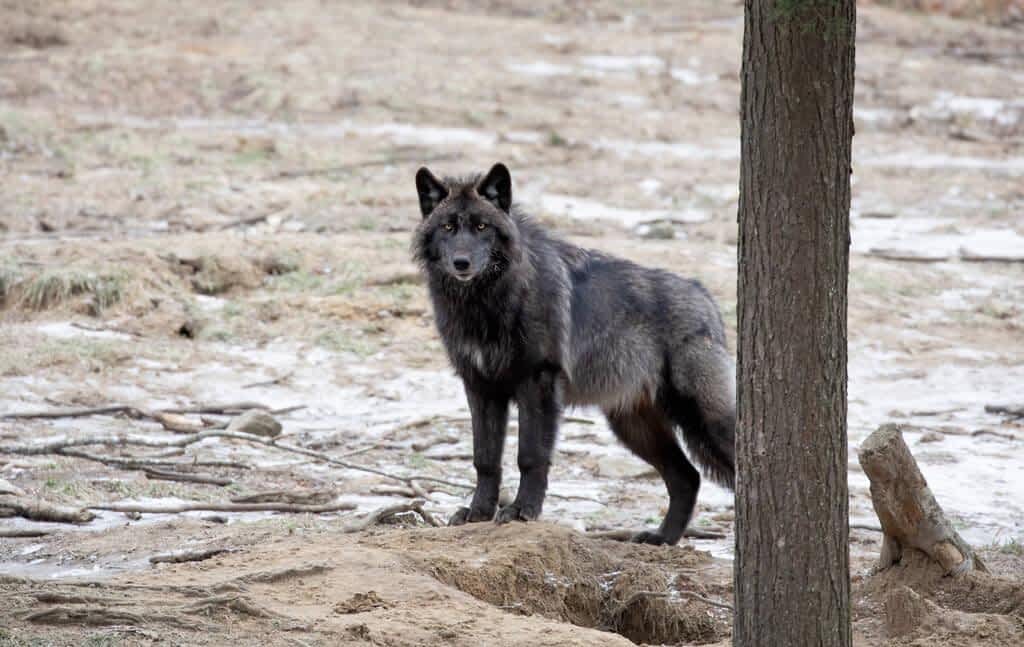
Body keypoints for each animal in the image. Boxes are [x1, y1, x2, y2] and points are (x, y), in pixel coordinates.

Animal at [411, 163, 735, 545]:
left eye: (481, 227)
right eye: (448, 227)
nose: (461, 262)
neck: (485, 303)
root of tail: (705, 297)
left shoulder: (537, 383)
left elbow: (530, 456)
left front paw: (523, 511)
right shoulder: (480, 388)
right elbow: (485, 459)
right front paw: (478, 513)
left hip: (703, 420)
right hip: (633, 428)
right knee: (687, 477)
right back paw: (661, 539)